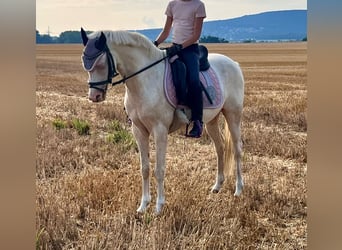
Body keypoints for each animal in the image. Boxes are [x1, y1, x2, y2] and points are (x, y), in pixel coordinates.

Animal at [81, 28, 244, 214]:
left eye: (100, 63)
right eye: (85, 62)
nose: (94, 96)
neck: (145, 79)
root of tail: (234, 63)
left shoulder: (160, 130)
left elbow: (159, 169)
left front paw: (159, 206)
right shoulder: (138, 130)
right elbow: (145, 168)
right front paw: (143, 205)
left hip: (233, 115)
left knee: (237, 150)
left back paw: (239, 189)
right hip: (211, 121)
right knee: (220, 148)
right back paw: (217, 186)